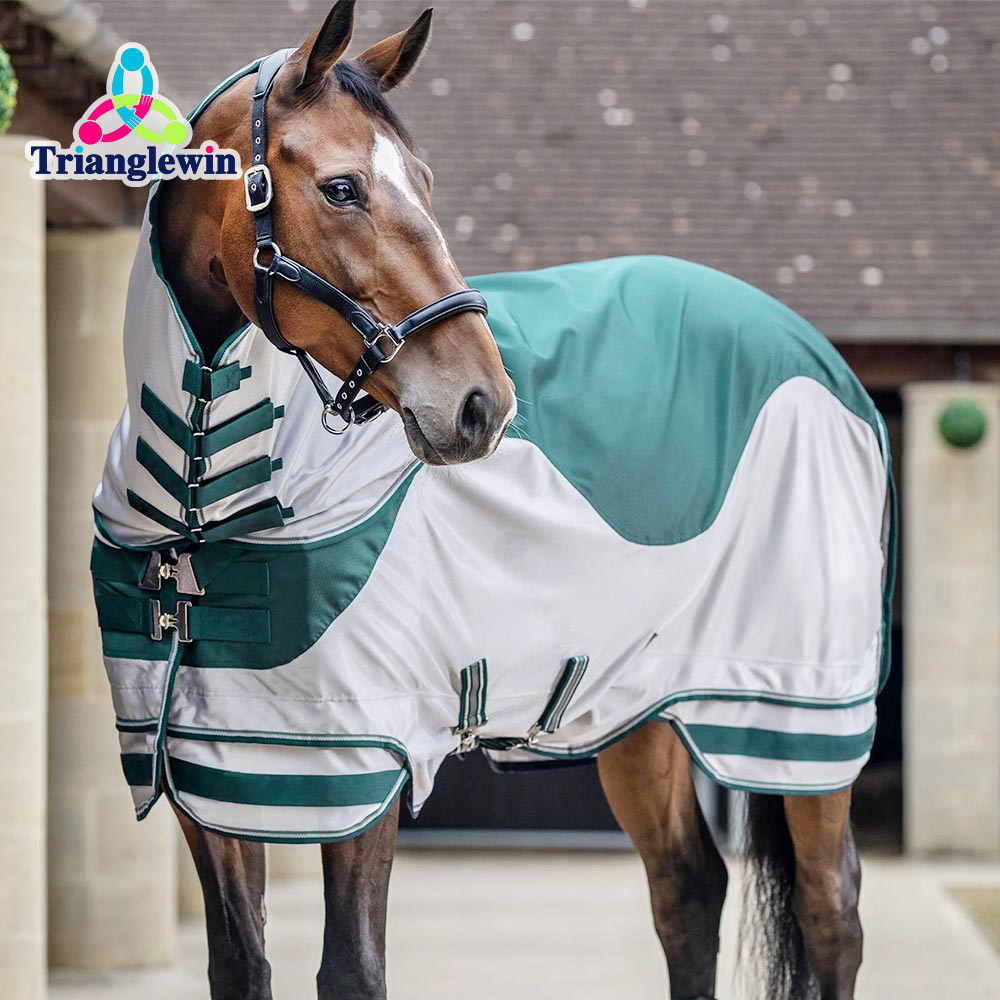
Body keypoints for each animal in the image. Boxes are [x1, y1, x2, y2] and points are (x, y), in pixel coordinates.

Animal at [90, 4, 894, 999]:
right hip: (640, 711)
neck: (203, 490)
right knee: (687, 891)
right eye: (343, 187)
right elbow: (240, 965)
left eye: (425, 181)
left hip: (799, 723)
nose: (482, 405)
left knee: (831, 911)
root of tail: (826, 366)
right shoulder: (214, 772)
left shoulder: (365, 764)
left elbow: (351, 970)